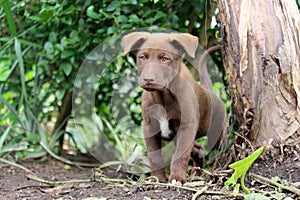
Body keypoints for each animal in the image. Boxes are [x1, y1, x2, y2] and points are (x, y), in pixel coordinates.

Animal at [122, 32, 225, 184]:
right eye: (142, 57)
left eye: (165, 59)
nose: (148, 79)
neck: (163, 97)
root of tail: (208, 91)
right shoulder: (149, 128)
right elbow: (155, 157)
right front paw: (157, 179)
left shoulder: (187, 126)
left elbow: (180, 155)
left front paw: (177, 178)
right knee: (198, 148)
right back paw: (197, 172)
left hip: (216, 133)